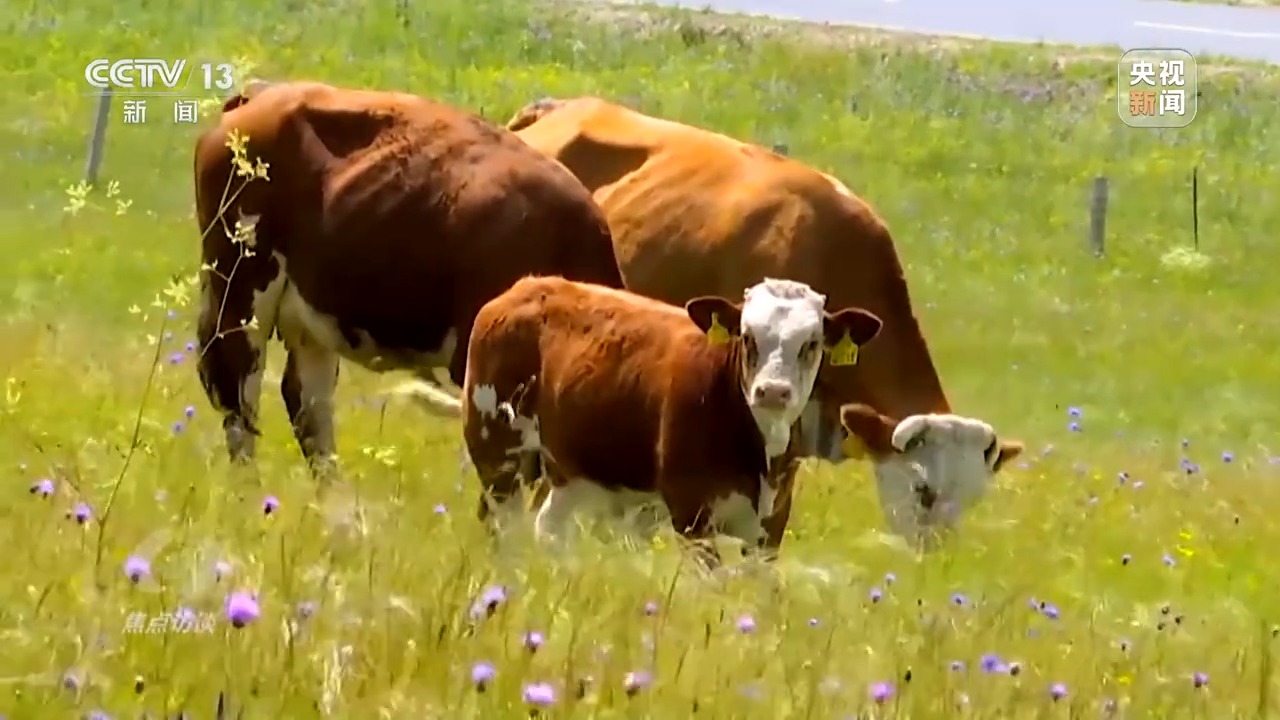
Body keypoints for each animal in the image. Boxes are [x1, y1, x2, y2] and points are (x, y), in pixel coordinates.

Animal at [460, 271, 890, 558]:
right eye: (747, 336)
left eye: (811, 343)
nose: (772, 391)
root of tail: (526, 287)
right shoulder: (691, 515)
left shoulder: (770, 527)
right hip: (498, 454)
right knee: (503, 526)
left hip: (572, 475)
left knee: (547, 527)